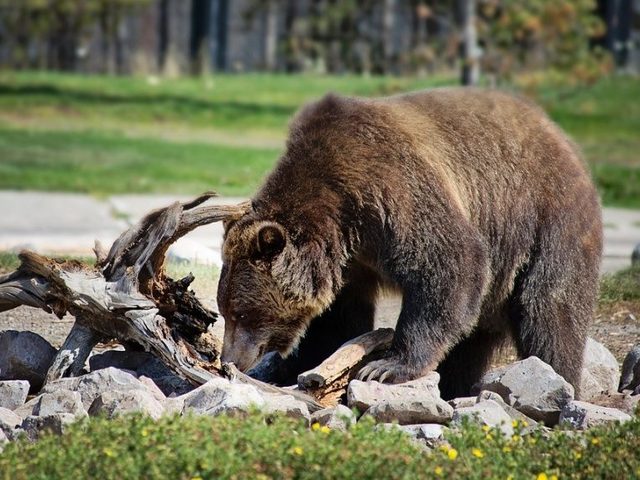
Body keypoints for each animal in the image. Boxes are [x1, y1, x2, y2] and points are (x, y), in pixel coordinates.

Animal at [217, 87, 603, 399]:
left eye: (241, 313)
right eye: (225, 310)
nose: (228, 359)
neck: (342, 217)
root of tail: (559, 134)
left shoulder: (391, 189)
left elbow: (450, 262)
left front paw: (385, 367)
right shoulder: (351, 261)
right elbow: (338, 320)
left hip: (545, 221)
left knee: (548, 311)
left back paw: (559, 379)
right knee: (471, 342)